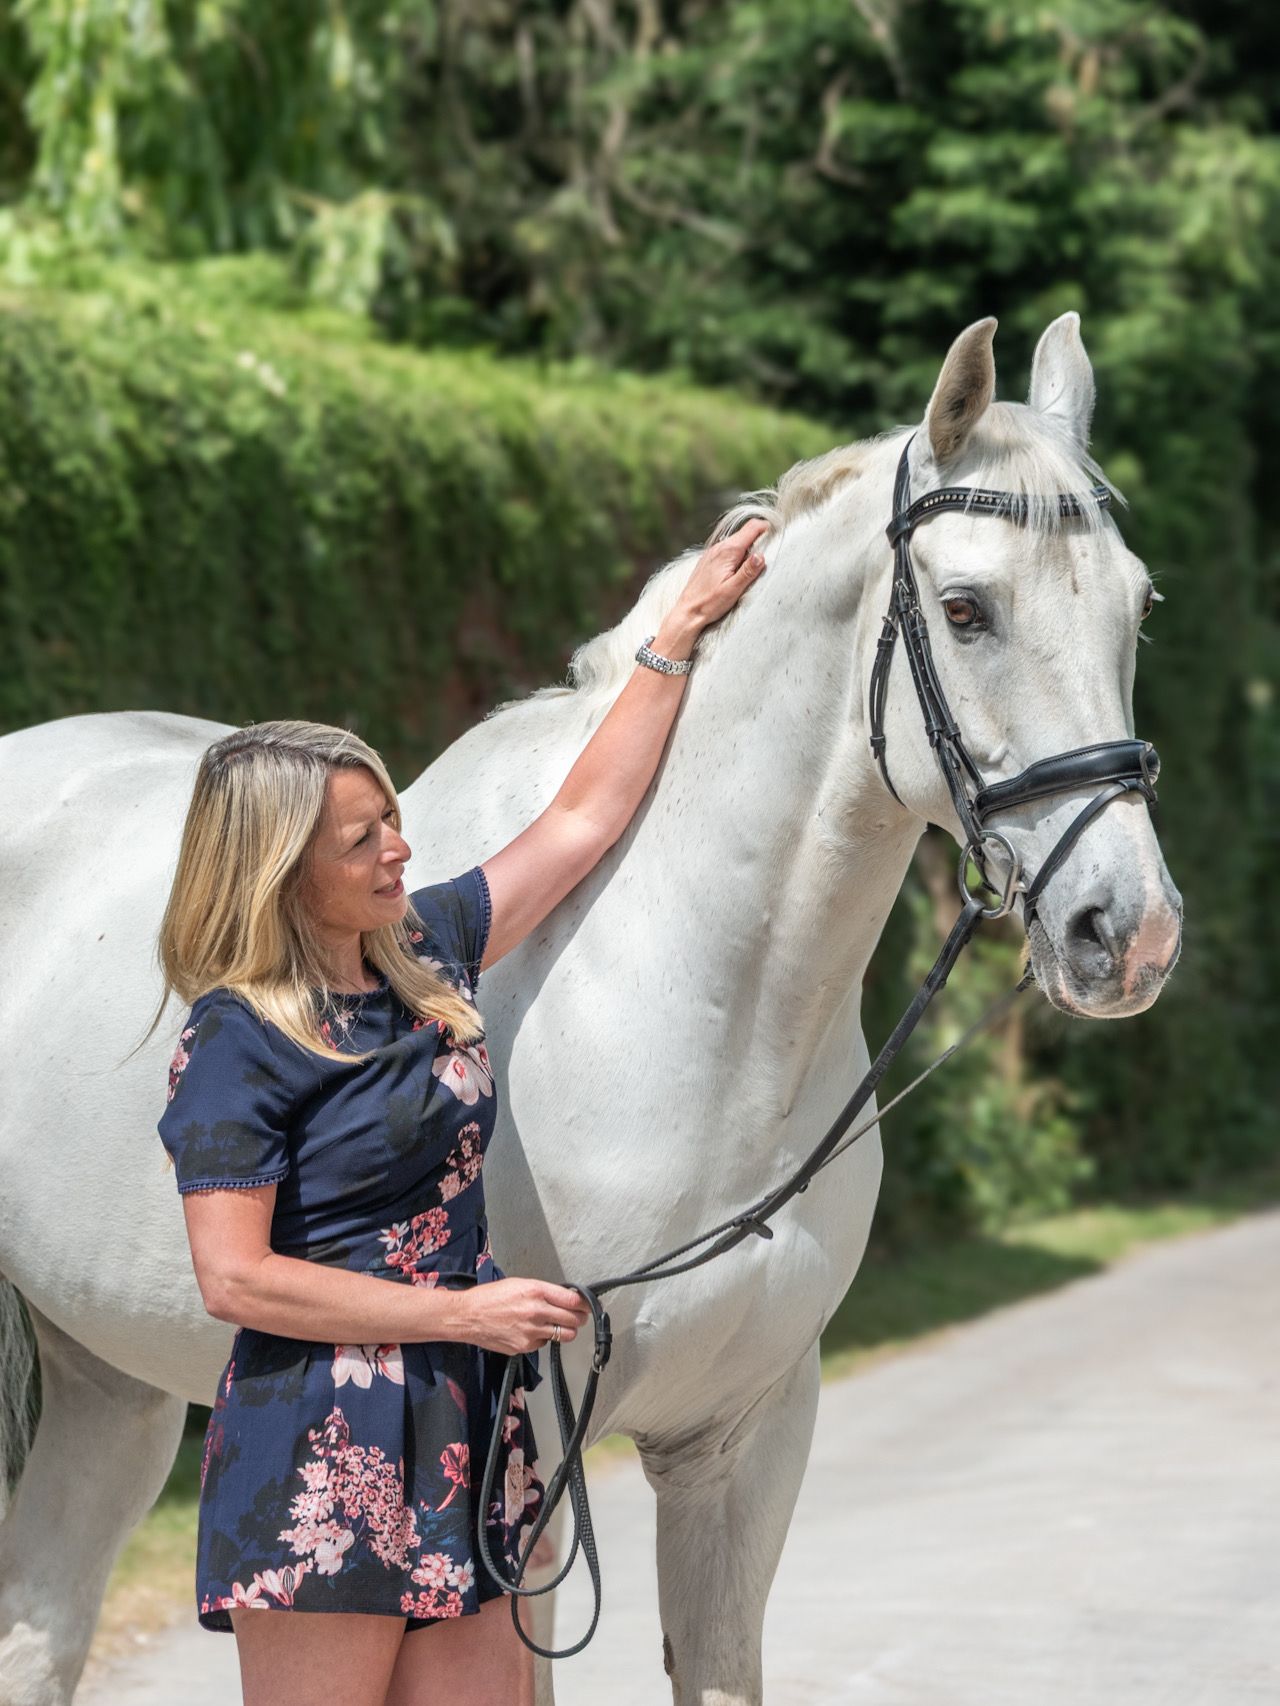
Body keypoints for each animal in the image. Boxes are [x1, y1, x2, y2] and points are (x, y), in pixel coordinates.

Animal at [0, 312, 1182, 1705]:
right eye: (964, 609)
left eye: (1138, 605)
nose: (1127, 930)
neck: (689, 1005)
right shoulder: (524, 1484)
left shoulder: (747, 1437)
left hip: (109, 1380)